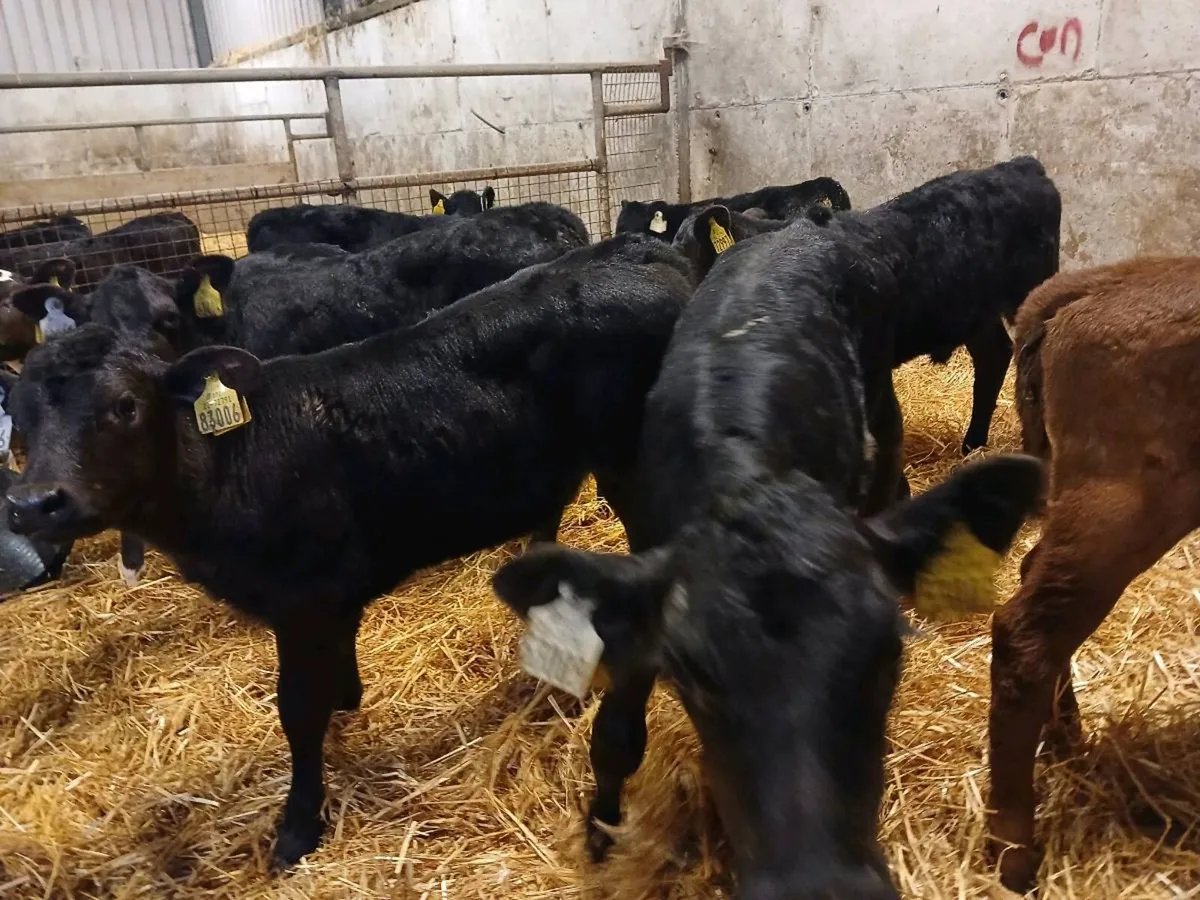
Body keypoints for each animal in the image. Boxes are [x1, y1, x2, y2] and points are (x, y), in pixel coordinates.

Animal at [4, 233, 693, 869]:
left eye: (125, 406)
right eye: (24, 413)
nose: (36, 503)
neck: (228, 460)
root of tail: (634, 248)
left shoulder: (303, 601)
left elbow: (297, 712)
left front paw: (298, 825)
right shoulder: (330, 596)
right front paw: (347, 697)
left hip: (633, 474)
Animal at [491, 214, 1044, 899]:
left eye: (888, 656)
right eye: (691, 674)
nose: (822, 884)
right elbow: (616, 734)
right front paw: (600, 834)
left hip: (883, 409)